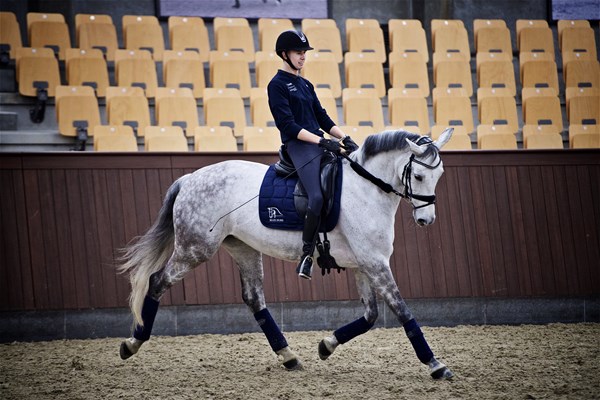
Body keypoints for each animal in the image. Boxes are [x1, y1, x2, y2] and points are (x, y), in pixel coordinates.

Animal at [117, 128, 454, 382]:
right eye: (419, 177)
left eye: (439, 175)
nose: (426, 220)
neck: (365, 190)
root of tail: (189, 178)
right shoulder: (375, 263)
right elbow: (403, 311)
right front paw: (436, 365)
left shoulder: (363, 264)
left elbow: (370, 316)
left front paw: (326, 346)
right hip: (194, 249)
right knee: (157, 282)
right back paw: (132, 344)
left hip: (243, 248)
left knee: (254, 299)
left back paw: (289, 356)